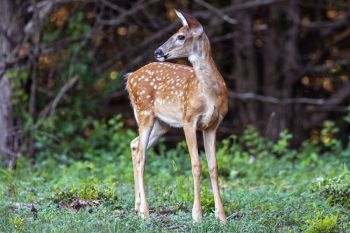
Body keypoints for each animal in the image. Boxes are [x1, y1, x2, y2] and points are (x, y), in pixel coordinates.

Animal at [126, 10, 230, 223]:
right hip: (144, 112)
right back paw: (145, 212)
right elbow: (196, 164)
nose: (158, 51)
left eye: (181, 36)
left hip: (162, 123)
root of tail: (130, 77)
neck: (210, 95)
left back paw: (137, 207)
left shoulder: (213, 125)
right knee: (141, 155)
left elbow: (214, 166)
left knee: (134, 144)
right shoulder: (188, 119)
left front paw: (222, 217)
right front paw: (197, 215)